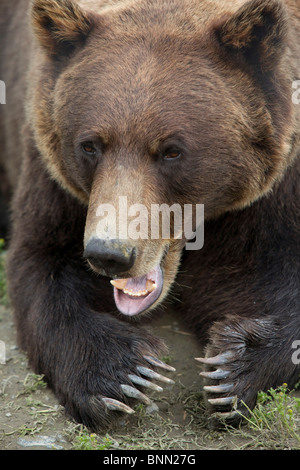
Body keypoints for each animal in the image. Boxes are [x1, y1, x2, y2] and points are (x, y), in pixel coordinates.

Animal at [0, 0, 300, 430]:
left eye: (172, 150)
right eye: (90, 145)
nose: (109, 253)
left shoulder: (272, 201)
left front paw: (232, 367)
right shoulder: (54, 177)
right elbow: (40, 262)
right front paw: (124, 373)